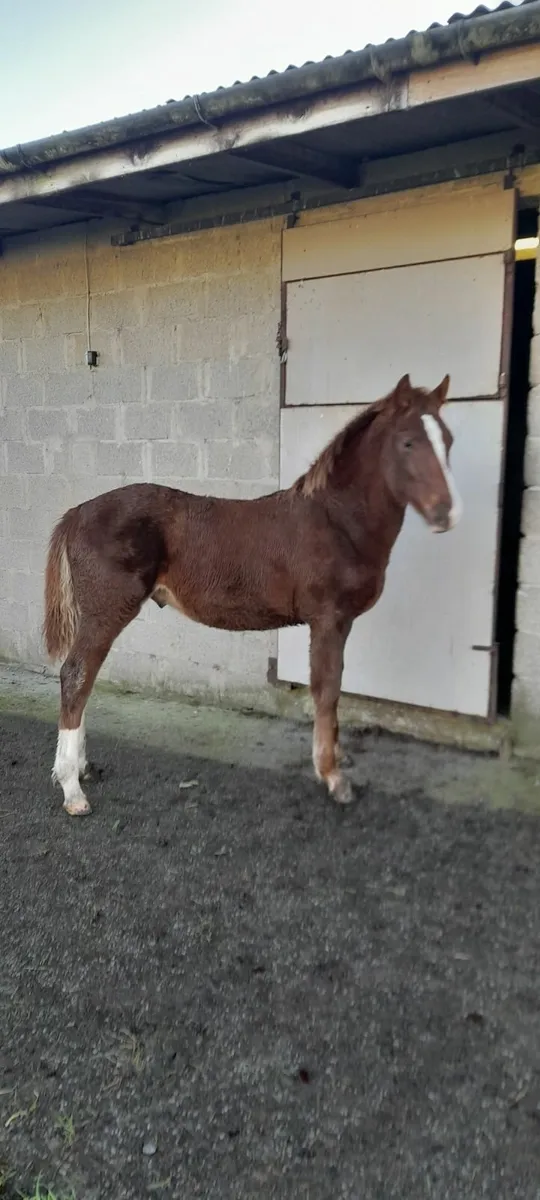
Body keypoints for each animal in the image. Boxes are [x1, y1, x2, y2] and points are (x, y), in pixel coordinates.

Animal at [43, 372, 461, 816]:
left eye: (448, 439)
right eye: (408, 442)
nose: (447, 514)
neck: (336, 521)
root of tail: (77, 513)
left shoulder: (340, 623)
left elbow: (334, 687)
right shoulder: (328, 619)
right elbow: (326, 690)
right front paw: (333, 777)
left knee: (84, 679)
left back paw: (82, 769)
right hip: (106, 612)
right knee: (76, 676)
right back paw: (72, 789)